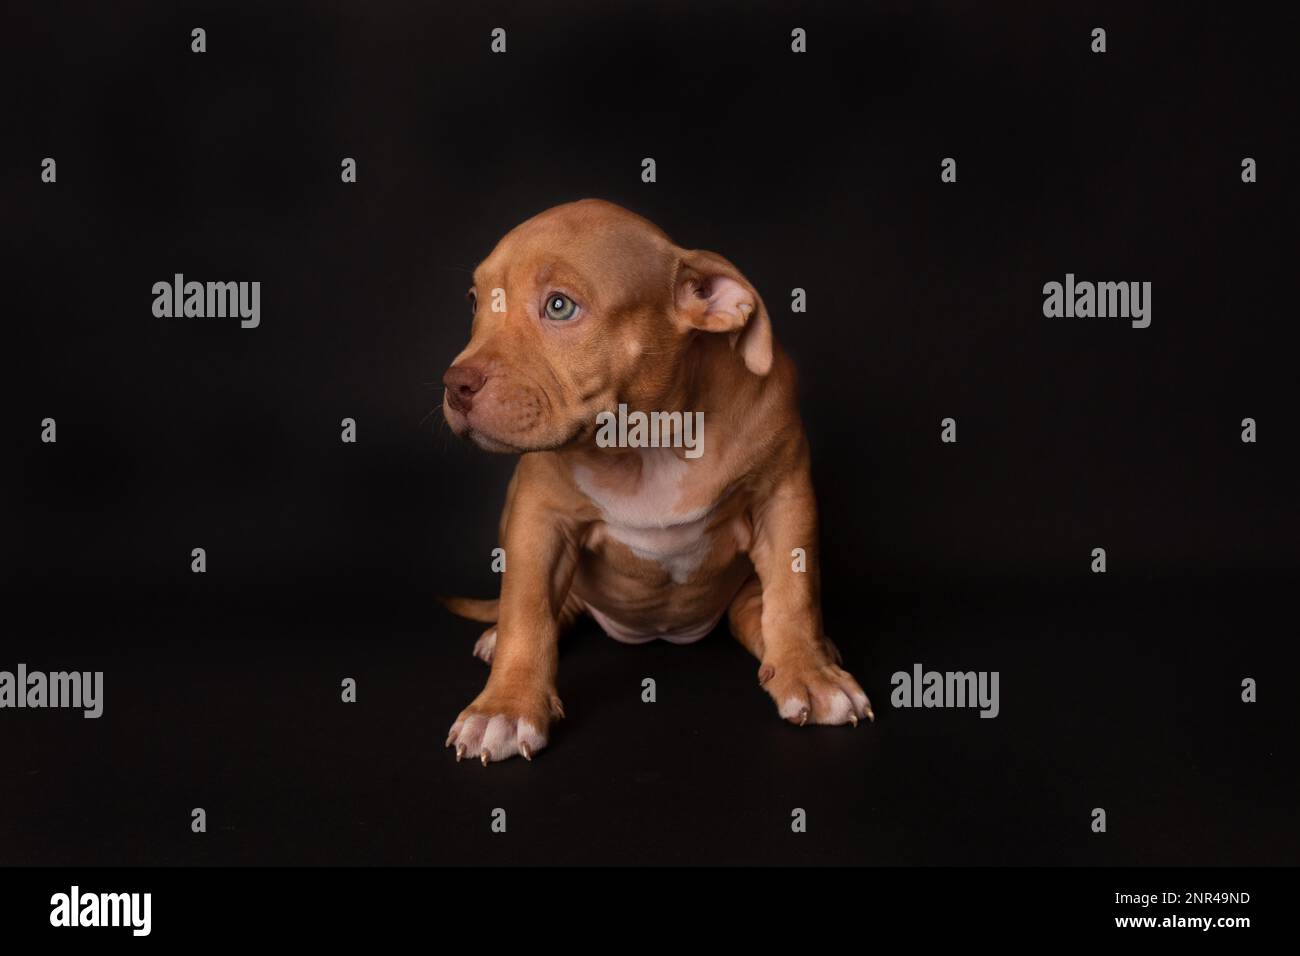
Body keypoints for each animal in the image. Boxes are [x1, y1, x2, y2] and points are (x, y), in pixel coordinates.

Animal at [439, 197, 873, 764]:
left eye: (559, 306)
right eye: (474, 303)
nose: (455, 385)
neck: (649, 440)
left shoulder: (785, 496)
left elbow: (795, 595)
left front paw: (810, 673)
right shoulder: (538, 516)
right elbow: (526, 610)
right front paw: (506, 707)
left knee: (758, 608)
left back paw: (805, 651)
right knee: (553, 605)